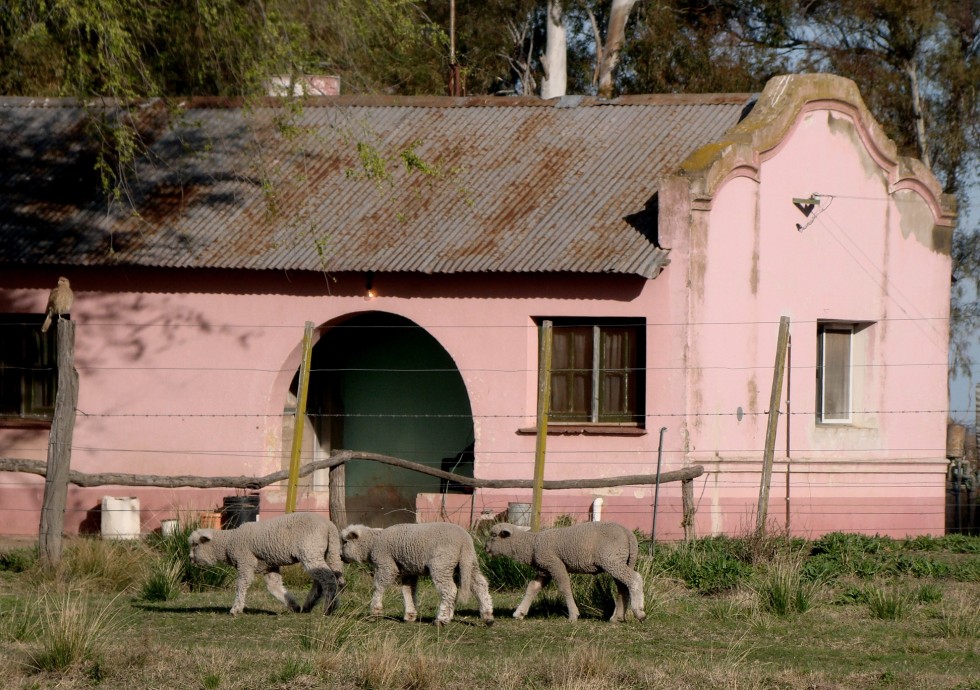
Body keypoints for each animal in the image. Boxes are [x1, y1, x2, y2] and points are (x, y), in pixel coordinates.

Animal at [188, 510, 344, 612]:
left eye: (195, 545)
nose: (190, 559)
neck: (229, 542)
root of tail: (329, 525)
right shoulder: (269, 566)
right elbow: (273, 586)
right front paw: (293, 605)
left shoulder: (245, 561)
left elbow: (242, 584)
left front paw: (236, 608)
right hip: (323, 552)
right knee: (323, 578)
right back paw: (309, 605)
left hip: (310, 550)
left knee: (328, 578)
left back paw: (329, 607)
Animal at [344, 520, 498, 624]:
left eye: (345, 542)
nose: (341, 556)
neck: (372, 544)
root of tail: (465, 540)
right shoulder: (408, 570)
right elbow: (408, 591)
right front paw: (410, 614)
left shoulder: (386, 564)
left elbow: (378, 587)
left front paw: (375, 611)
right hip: (469, 562)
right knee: (480, 585)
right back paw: (487, 616)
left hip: (441, 564)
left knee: (449, 590)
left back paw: (441, 619)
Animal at [486, 520, 648, 620]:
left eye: (493, 535)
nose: (485, 548)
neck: (531, 545)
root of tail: (628, 533)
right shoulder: (545, 569)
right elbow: (532, 588)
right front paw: (519, 612)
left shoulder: (555, 564)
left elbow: (565, 588)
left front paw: (573, 615)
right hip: (620, 560)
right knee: (622, 587)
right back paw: (617, 617)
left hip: (612, 560)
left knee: (634, 579)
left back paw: (639, 612)